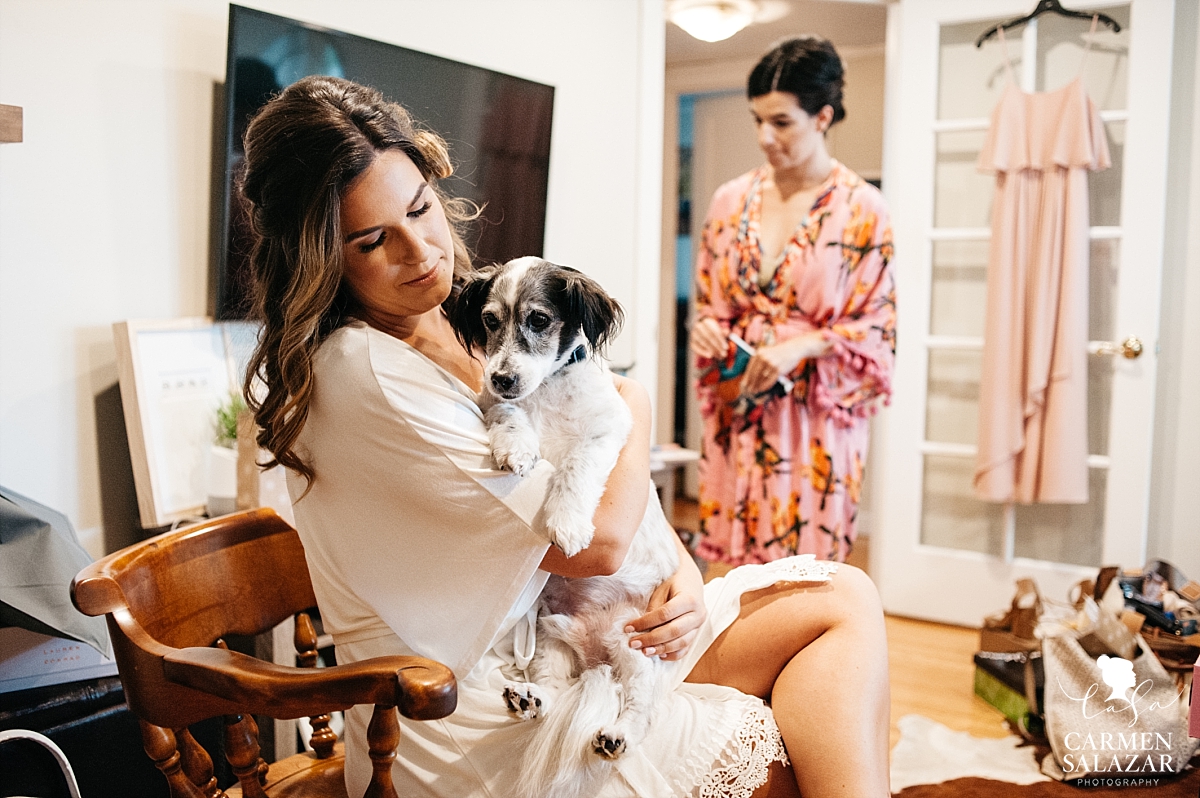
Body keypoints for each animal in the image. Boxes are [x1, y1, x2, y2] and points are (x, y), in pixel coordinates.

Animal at [451, 255, 681, 796]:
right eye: (489, 320)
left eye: (538, 320)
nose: (502, 376)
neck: (548, 392)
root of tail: (595, 657)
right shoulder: (494, 405)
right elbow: (509, 416)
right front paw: (517, 448)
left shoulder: (606, 433)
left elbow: (576, 469)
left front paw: (568, 523)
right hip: (549, 642)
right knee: (554, 689)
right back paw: (530, 700)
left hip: (637, 647)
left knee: (639, 707)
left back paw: (616, 735)